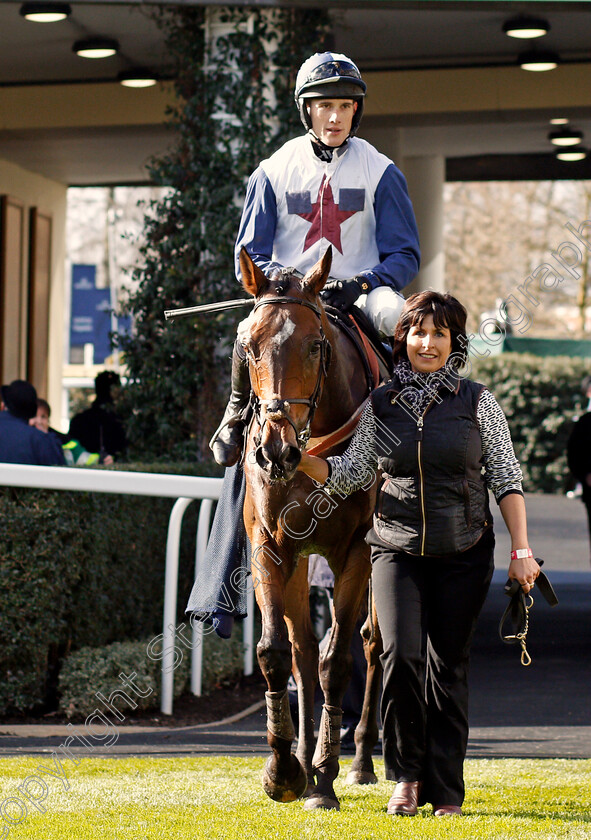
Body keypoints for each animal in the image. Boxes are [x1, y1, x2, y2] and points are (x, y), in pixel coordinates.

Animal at [239, 246, 384, 812]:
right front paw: (284, 770)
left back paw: (361, 762)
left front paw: (324, 780)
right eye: (249, 345)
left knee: (370, 643)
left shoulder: (357, 550)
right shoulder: (271, 545)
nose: (276, 450)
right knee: (302, 652)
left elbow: (337, 658)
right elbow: (278, 653)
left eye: (316, 345)